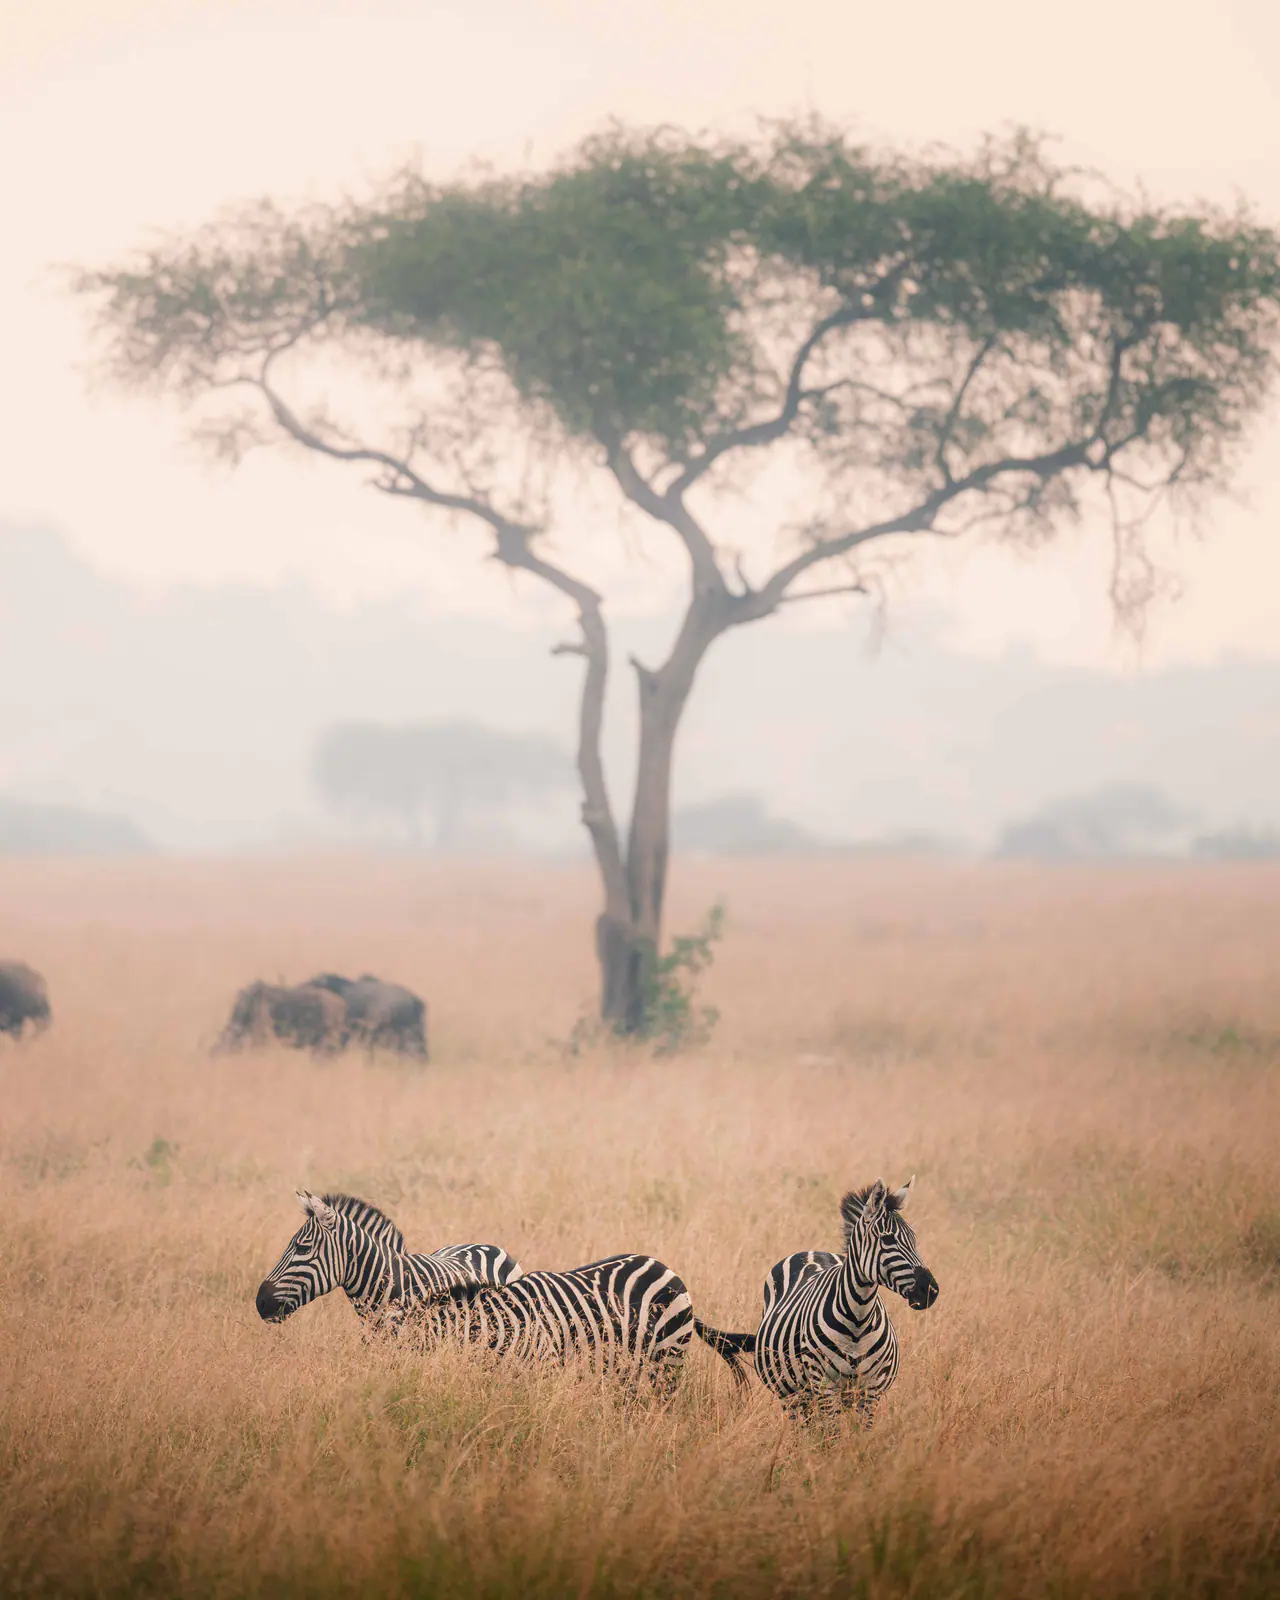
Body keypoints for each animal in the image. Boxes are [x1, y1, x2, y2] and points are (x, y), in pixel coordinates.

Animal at [697, 1177, 939, 1421]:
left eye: (914, 1239)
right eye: (887, 1239)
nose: (931, 1290)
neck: (858, 1319)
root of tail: (811, 1252)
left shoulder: (870, 1391)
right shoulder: (825, 1387)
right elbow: (831, 1432)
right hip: (793, 1395)